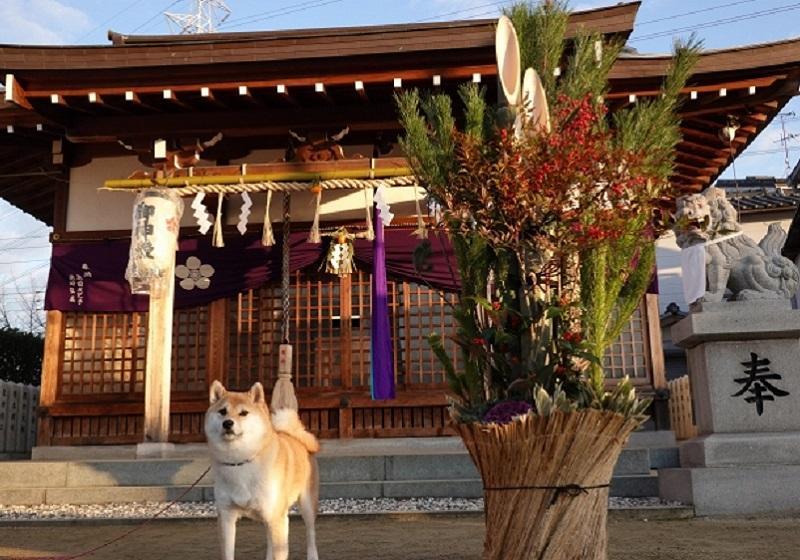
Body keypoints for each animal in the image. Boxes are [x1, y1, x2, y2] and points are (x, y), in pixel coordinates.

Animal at [205, 380, 320, 560]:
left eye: (243, 413)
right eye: (222, 411)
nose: (227, 423)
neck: (240, 461)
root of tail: (294, 436)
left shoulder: (277, 518)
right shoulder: (226, 516)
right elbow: (228, 552)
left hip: (306, 505)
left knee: (310, 533)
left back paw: (313, 554)